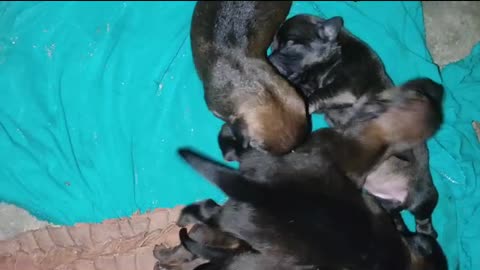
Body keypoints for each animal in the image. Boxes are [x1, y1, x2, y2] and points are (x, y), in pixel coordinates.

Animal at [266, 14, 442, 238]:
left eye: (290, 44)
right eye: (273, 45)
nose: (270, 59)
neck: (336, 52)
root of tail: (397, 200)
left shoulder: (343, 89)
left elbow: (315, 96)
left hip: (424, 195)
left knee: (424, 219)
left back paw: (425, 233)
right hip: (379, 201)